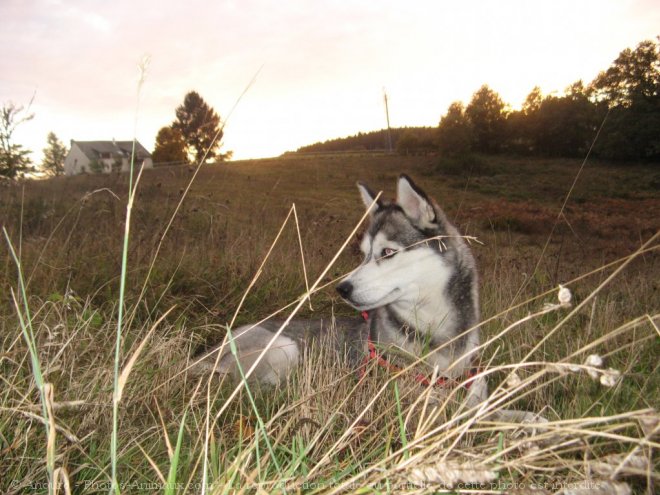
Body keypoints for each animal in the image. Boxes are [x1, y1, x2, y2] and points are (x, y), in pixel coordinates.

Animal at [201, 176, 536, 420]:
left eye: (386, 252)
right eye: (363, 254)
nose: (342, 288)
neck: (438, 338)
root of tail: (205, 353)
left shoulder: (475, 397)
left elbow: (520, 416)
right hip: (285, 348)